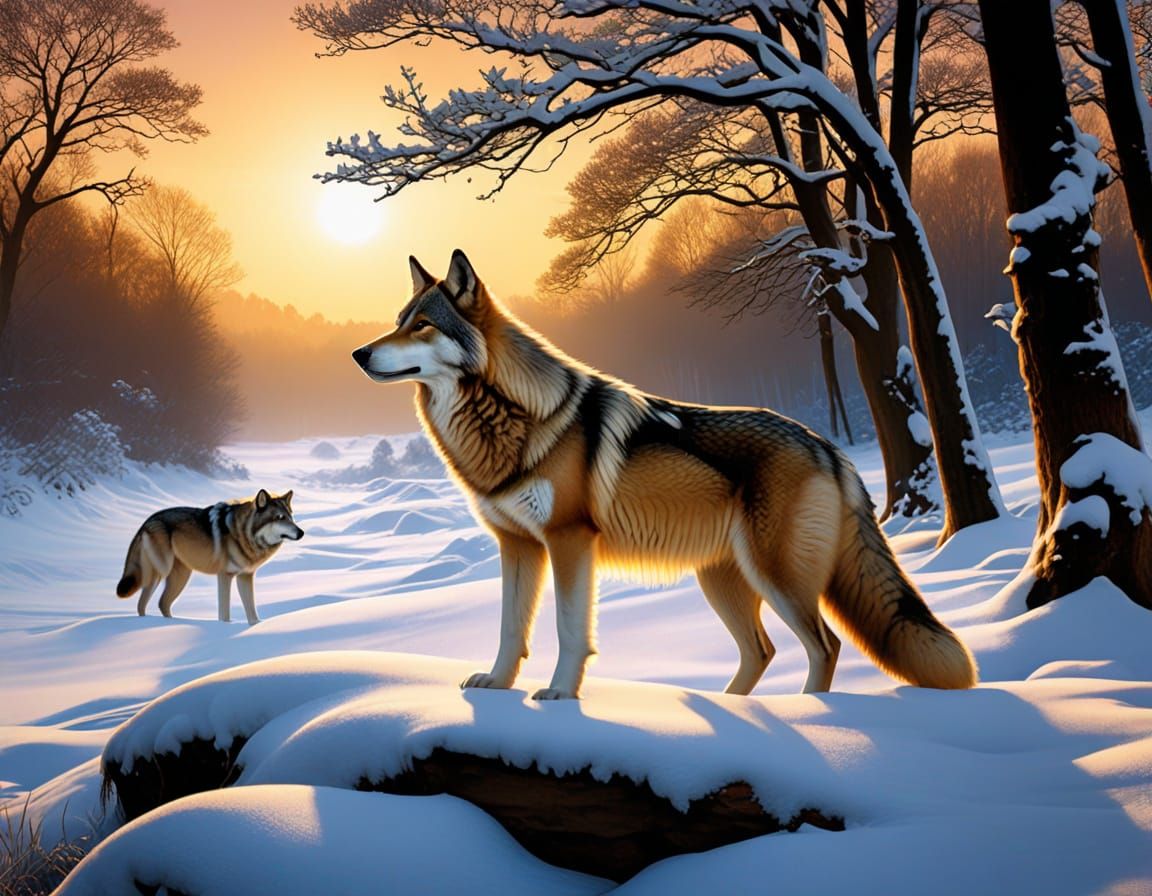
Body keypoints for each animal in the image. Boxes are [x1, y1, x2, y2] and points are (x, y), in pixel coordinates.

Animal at [115, 490, 304, 624]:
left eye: (291, 517)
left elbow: (252, 613)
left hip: (181, 577)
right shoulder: (225, 576)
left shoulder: (245, 576)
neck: (243, 534)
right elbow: (224, 613)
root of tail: (146, 522)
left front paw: (256, 626)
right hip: (160, 572)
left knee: (162, 603)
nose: (301, 532)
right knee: (142, 604)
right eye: (279, 517)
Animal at [353, 250, 977, 699]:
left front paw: (559, 696)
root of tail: (829, 447)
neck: (511, 416)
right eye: (398, 323)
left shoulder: (569, 540)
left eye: (423, 326)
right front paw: (496, 686)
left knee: (823, 647)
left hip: (777, 578)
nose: (359, 354)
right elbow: (512, 630)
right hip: (723, 581)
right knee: (763, 651)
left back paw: (807, 714)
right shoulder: (518, 545)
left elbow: (569, 631)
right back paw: (731, 707)